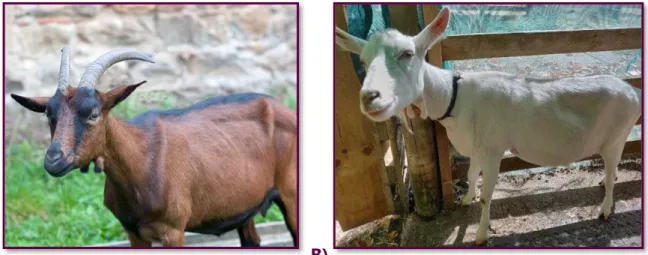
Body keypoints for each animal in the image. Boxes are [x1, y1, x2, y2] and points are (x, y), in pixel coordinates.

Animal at [8, 46, 298, 247]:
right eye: (49, 114)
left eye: (93, 113)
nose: (54, 159)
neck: (141, 160)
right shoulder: (133, 232)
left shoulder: (173, 230)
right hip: (245, 206)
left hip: (290, 194)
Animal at [336, 6, 640, 245]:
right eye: (362, 59)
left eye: (407, 54)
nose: (369, 97)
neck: (454, 97)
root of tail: (634, 92)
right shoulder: (476, 147)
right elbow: (471, 176)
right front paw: (466, 199)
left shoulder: (494, 149)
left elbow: (487, 196)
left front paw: (481, 235)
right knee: (611, 171)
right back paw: (603, 182)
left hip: (617, 137)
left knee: (613, 171)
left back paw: (605, 210)